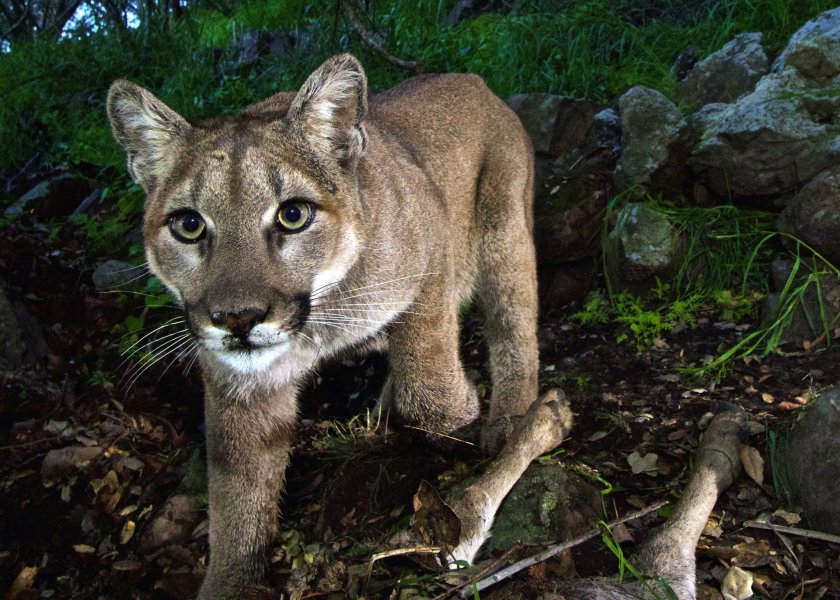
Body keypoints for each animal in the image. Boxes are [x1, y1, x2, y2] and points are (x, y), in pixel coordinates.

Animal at [108, 54, 540, 596]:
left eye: (293, 215)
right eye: (188, 225)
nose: (237, 319)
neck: (318, 322)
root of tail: (470, 79)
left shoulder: (431, 248)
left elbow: (428, 383)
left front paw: (457, 423)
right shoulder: (239, 385)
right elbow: (237, 496)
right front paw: (231, 583)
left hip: (506, 234)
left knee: (515, 327)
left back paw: (509, 418)